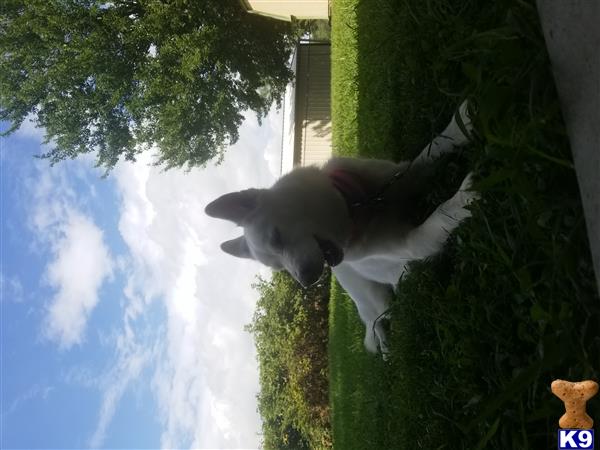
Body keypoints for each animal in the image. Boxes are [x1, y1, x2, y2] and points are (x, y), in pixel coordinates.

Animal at [206, 101, 478, 356]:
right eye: (279, 268)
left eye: (276, 238)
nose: (306, 281)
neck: (358, 209)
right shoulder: (411, 244)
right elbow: (439, 215)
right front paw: (464, 196)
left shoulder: (404, 172)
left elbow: (433, 147)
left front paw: (462, 122)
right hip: (376, 301)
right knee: (377, 323)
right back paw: (386, 349)